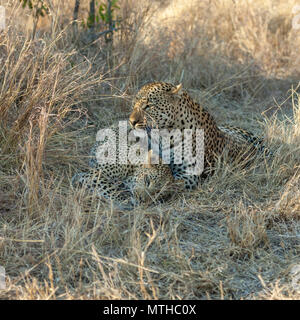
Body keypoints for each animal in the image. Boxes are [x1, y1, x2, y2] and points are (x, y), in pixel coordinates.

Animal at [127, 81, 270, 189]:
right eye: (133, 104)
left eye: (148, 106)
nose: (131, 121)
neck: (164, 135)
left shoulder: (190, 175)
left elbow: (172, 184)